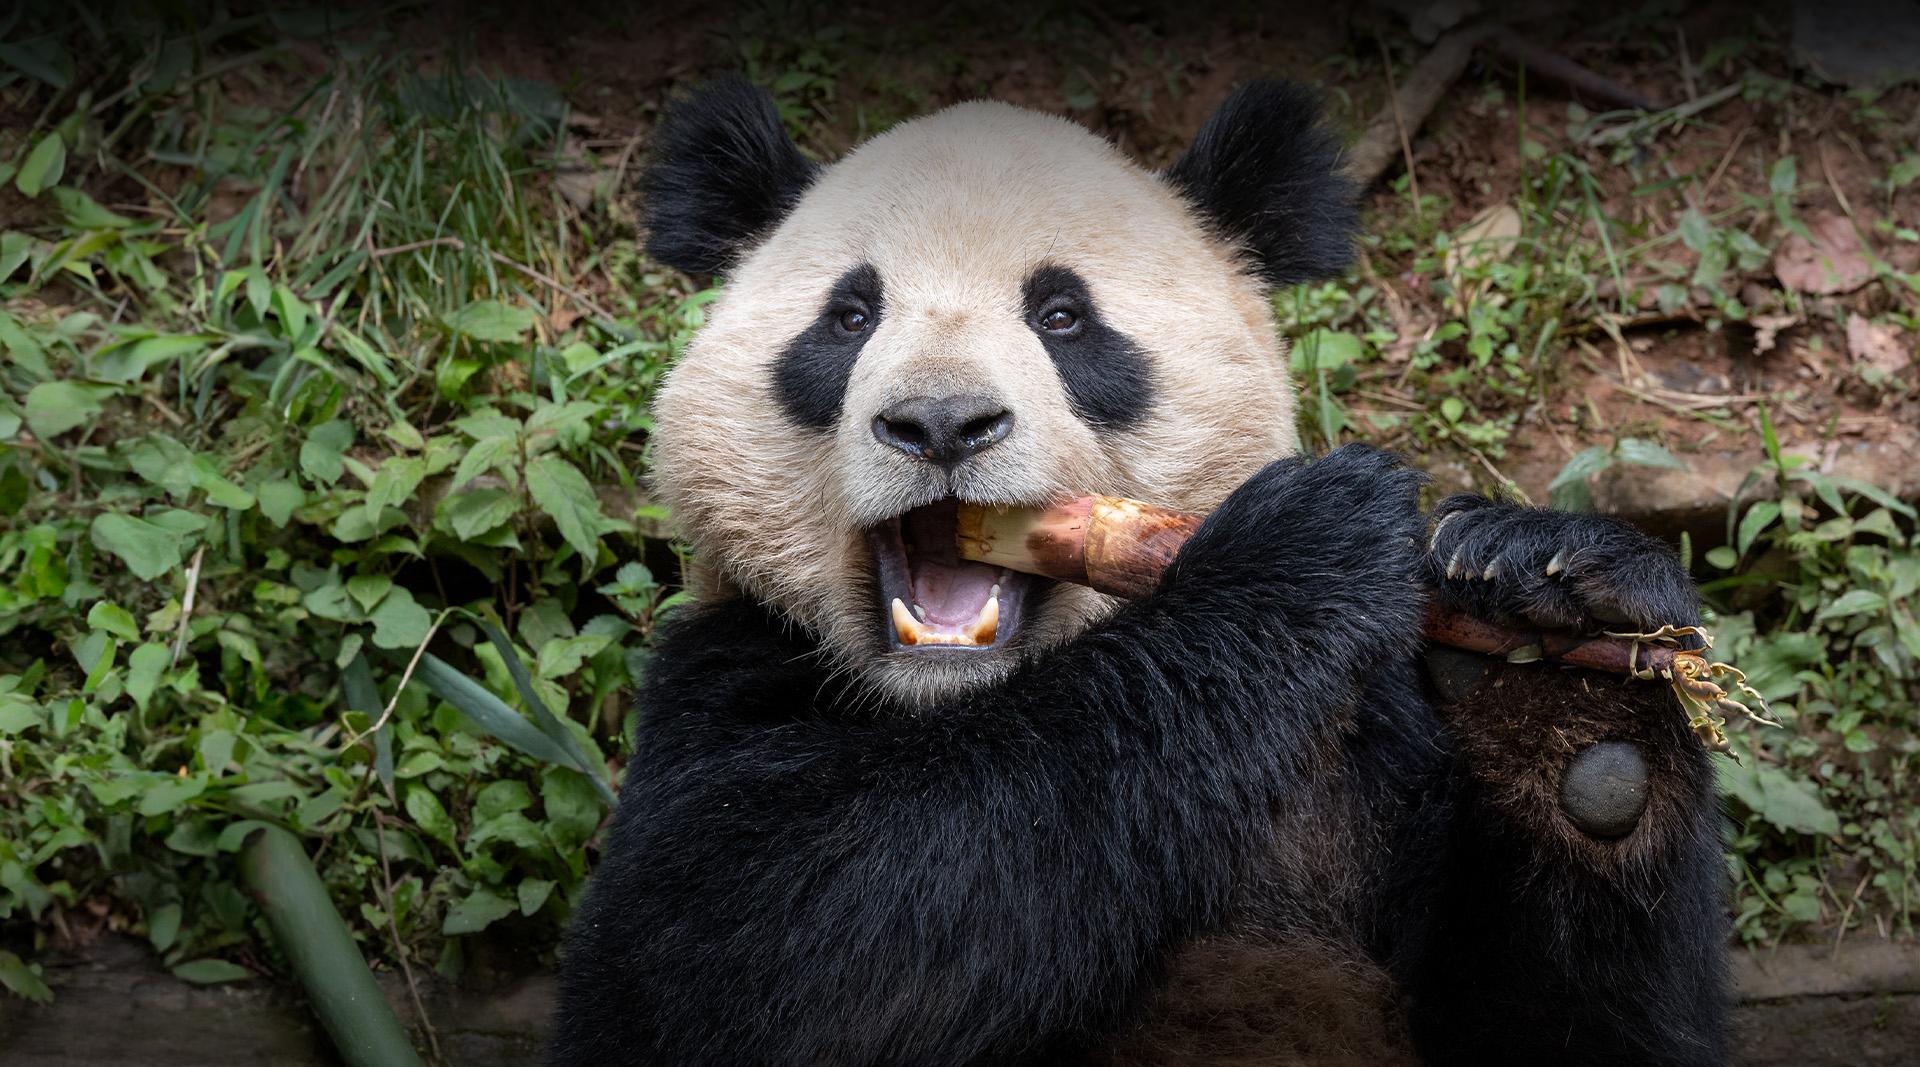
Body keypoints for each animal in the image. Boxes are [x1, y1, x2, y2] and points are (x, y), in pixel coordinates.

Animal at [549, 77, 1728, 1066]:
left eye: (1063, 316)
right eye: (848, 316)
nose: (940, 423)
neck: (956, 705)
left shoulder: (1374, 752)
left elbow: (1588, 1030)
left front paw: (1558, 645)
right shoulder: (726, 676)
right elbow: (770, 951)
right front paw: (1300, 548)